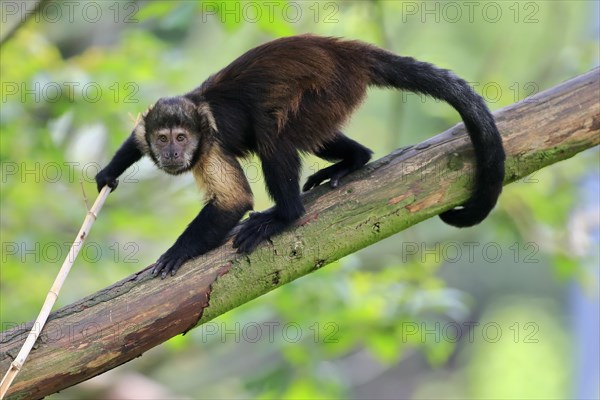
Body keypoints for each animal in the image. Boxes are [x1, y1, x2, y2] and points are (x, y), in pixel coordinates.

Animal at [96, 34, 504, 278]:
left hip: (331, 88)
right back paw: (356, 159)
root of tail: (347, 51)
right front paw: (108, 174)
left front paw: (177, 253)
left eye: (181, 138)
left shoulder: (209, 145)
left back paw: (284, 215)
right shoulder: (151, 126)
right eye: (163, 139)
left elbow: (234, 201)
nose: (173, 152)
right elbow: (134, 140)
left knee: (273, 135)